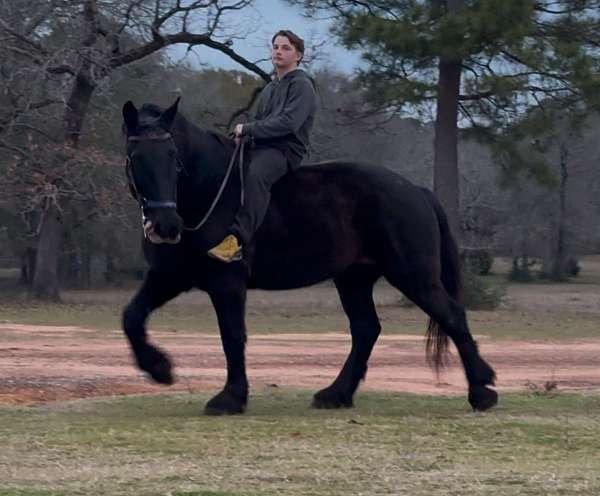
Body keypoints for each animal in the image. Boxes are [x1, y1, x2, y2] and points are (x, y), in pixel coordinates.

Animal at [120, 98, 496, 414]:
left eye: (174, 157)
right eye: (136, 158)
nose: (165, 226)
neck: (209, 189)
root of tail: (415, 190)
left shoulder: (227, 282)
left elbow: (232, 336)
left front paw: (230, 397)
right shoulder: (169, 277)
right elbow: (132, 317)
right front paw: (160, 368)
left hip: (413, 276)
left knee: (451, 316)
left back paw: (481, 391)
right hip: (354, 279)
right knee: (366, 329)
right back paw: (336, 393)